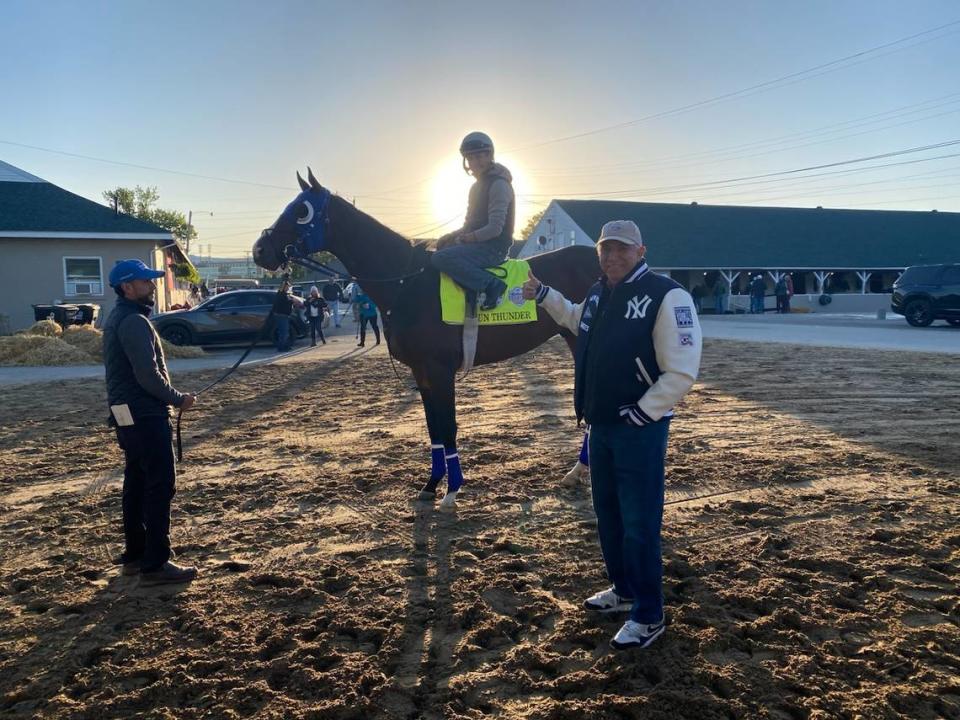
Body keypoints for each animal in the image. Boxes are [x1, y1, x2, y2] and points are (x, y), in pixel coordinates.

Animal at [255, 170, 600, 506]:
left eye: (302, 211)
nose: (260, 250)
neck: (407, 282)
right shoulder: (421, 371)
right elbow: (433, 428)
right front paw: (432, 484)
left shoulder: (439, 369)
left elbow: (448, 426)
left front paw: (452, 489)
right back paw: (577, 471)